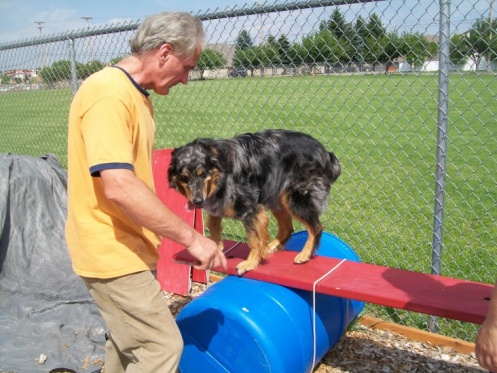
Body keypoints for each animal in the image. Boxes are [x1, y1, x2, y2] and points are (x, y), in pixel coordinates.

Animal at [168, 129, 340, 274]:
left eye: (202, 174)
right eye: (184, 177)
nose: (197, 201)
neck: (222, 169)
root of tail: (325, 152)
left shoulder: (250, 210)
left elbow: (253, 240)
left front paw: (250, 263)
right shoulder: (218, 208)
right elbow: (214, 229)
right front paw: (213, 251)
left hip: (295, 198)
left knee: (316, 227)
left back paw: (305, 254)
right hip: (277, 197)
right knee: (287, 227)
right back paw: (272, 247)